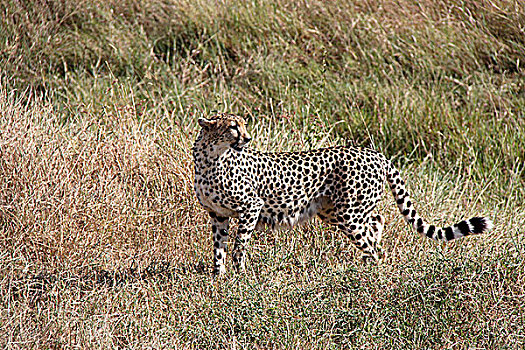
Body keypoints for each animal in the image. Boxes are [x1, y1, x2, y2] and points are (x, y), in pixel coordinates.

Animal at [192, 113, 492, 274]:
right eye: (233, 126)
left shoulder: (251, 207)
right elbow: (218, 247)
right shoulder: (218, 215)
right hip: (335, 210)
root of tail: (375, 153)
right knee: (376, 223)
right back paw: (370, 263)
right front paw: (218, 278)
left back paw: (369, 273)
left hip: (348, 212)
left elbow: (239, 245)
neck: (211, 158)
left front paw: (239, 276)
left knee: (369, 236)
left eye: (242, 125)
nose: (247, 138)